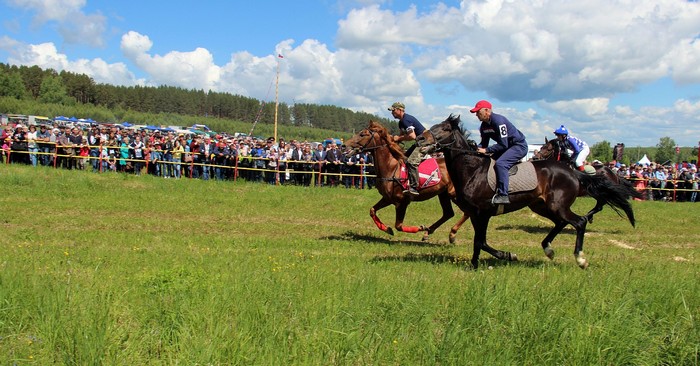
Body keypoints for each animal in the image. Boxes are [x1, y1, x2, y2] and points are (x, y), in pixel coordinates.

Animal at [418, 114, 644, 268]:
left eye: (445, 128)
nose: (420, 139)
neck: (473, 170)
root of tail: (572, 172)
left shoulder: (483, 213)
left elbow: (481, 241)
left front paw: (507, 255)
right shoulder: (475, 214)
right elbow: (478, 242)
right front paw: (475, 264)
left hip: (557, 205)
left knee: (579, 222)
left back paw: (580, 258)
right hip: (541, 206)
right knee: (561, 223)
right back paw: (548, 249)